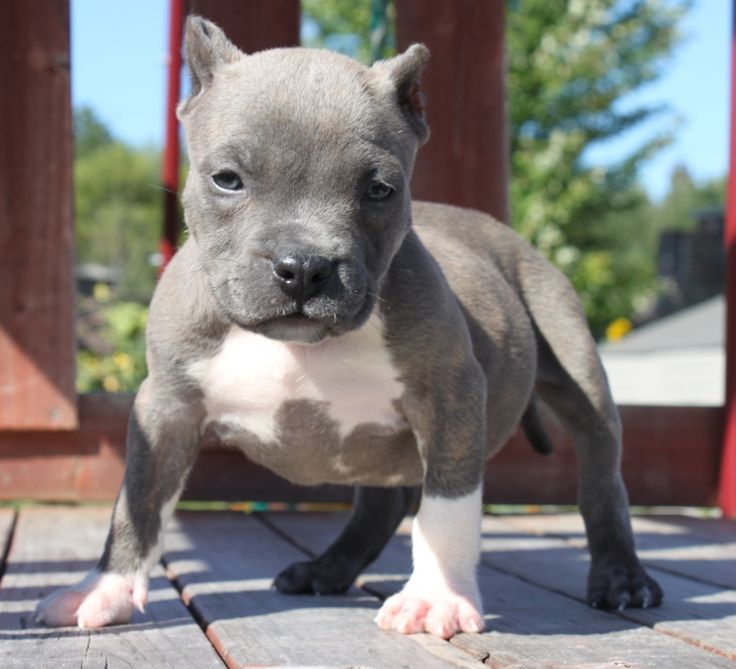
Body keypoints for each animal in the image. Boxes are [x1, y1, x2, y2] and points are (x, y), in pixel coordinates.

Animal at [36, 17, 660, 636]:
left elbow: (447, 507)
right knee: (382, 503)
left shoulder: (452, 398)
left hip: (577, 371)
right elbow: (138, 501)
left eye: (379, 189)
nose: (302, 267)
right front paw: (105, 589)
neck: (299, 348)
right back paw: (326, 569)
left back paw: (621, 578)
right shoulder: (166, 407)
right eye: (228, 179)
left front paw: (436, 597)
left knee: (601, 476)